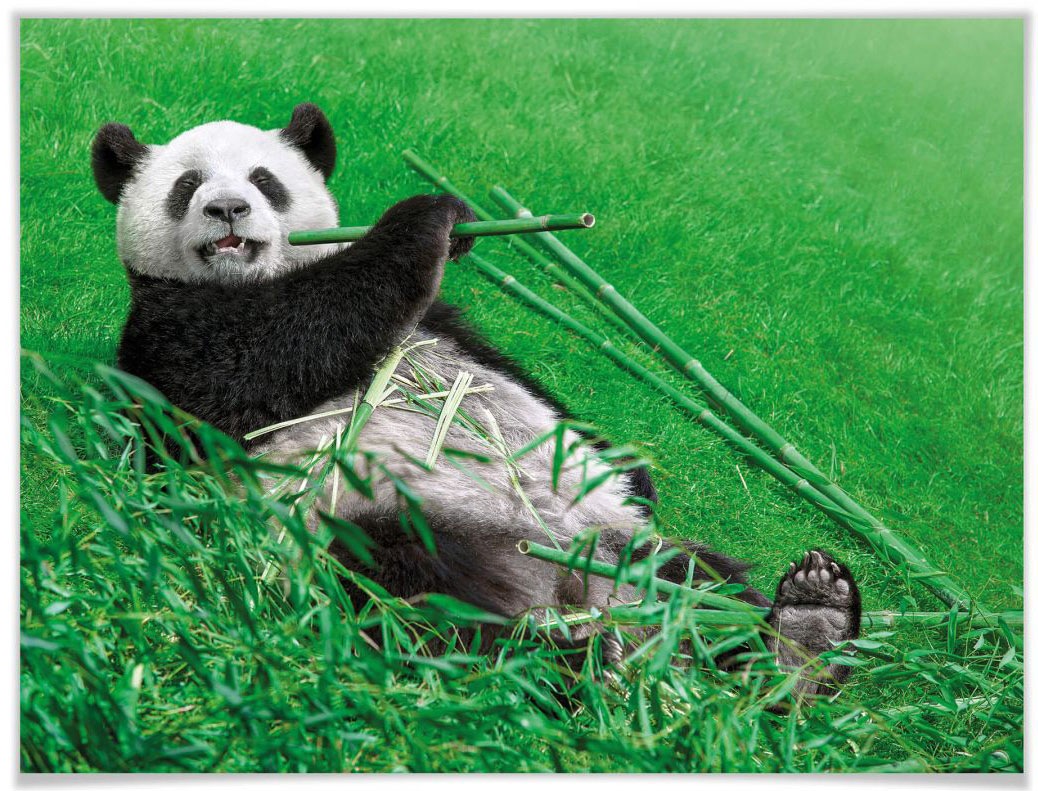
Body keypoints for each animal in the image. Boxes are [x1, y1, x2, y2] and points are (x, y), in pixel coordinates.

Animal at [91, 103, 861, 698]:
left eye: (264, 180)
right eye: (187, 184)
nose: (227, 209)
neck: (256, 274)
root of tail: (582, 599)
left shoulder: (450, 327)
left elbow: (539, 395)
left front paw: (635, 475)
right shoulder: (169, 332)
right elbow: (264, 356)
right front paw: (428, 220)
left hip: (614, 543)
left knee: (702, 581)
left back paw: (804, 634)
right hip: (370, 517)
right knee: (419, 598)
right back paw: (554, 663)